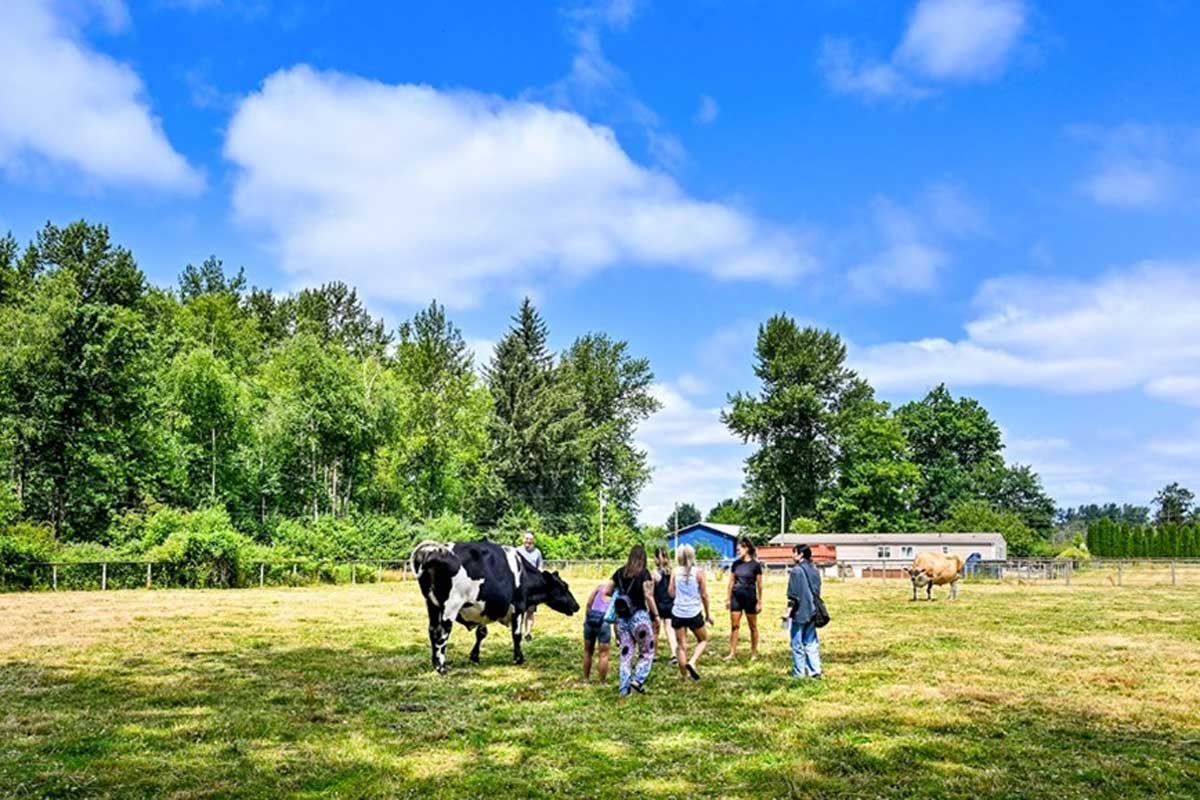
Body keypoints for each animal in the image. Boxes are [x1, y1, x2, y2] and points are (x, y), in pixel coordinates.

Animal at [412, 542, 580, 671]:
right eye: (564, 586)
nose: (577, 606)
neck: (524, 574)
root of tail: (432, 551)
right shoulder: (518, 606)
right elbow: (517, 634)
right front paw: (518, 658)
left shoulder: (483, 608)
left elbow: (481, 633)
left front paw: (474, 656)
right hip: (451, 605)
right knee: (442, 633)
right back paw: (441, 667)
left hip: (432, 605)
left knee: (432, 630)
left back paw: (434, 663)